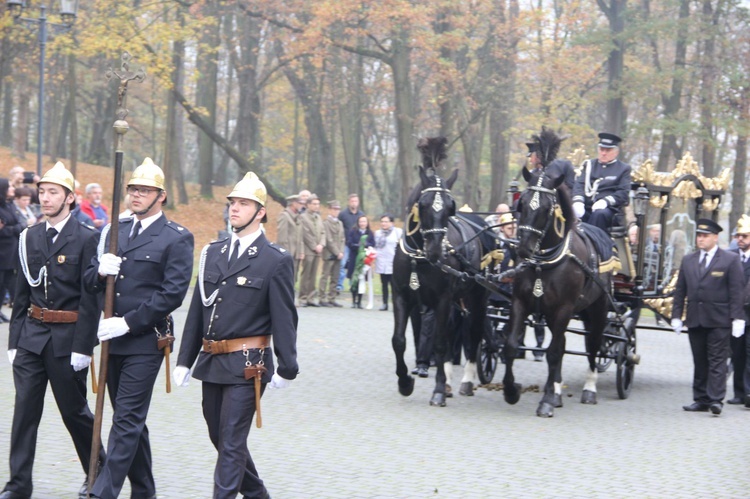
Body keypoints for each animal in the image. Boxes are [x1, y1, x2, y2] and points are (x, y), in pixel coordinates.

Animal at [394, 136, 494, 406]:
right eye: (423, 204)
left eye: (450, 207)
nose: (437, 251)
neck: (419, 259)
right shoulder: (403, 296)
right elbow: (399, 341)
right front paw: (405, 382)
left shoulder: (442, 299)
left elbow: (439, 344)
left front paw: (438, 390)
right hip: (456, 302)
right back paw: (449, 381)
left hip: (477, 297)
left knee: (474, 334)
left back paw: (466, 381)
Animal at [506, 129, 616, 418]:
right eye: (522, 203)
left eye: (546, 207)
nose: (523, 249)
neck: (544, 262)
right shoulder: (521, 302)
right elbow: (512, 345)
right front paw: (511, 391)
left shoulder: (564, 308)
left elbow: (554, 352)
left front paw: (545, 401)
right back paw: (556, 391)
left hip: (598, 307)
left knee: (593, 344)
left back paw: (589, 388)